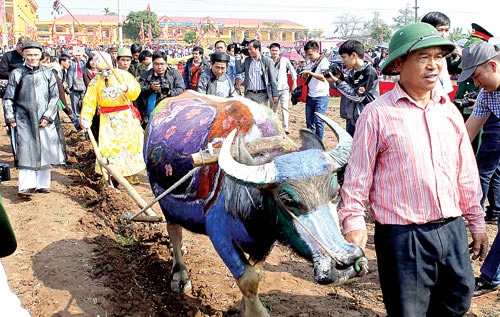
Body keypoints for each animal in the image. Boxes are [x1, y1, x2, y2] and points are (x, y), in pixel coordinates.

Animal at [144, 90, 368, 314]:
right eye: (287, 199)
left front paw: (242, 307)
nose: (349, 262)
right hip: (165, 203)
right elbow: (248, 279)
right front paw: (255, 311)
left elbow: (257, 273)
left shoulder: (267, 240)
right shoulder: (219, 233)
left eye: (336, 191)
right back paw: (180, 275)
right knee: (174, 232)